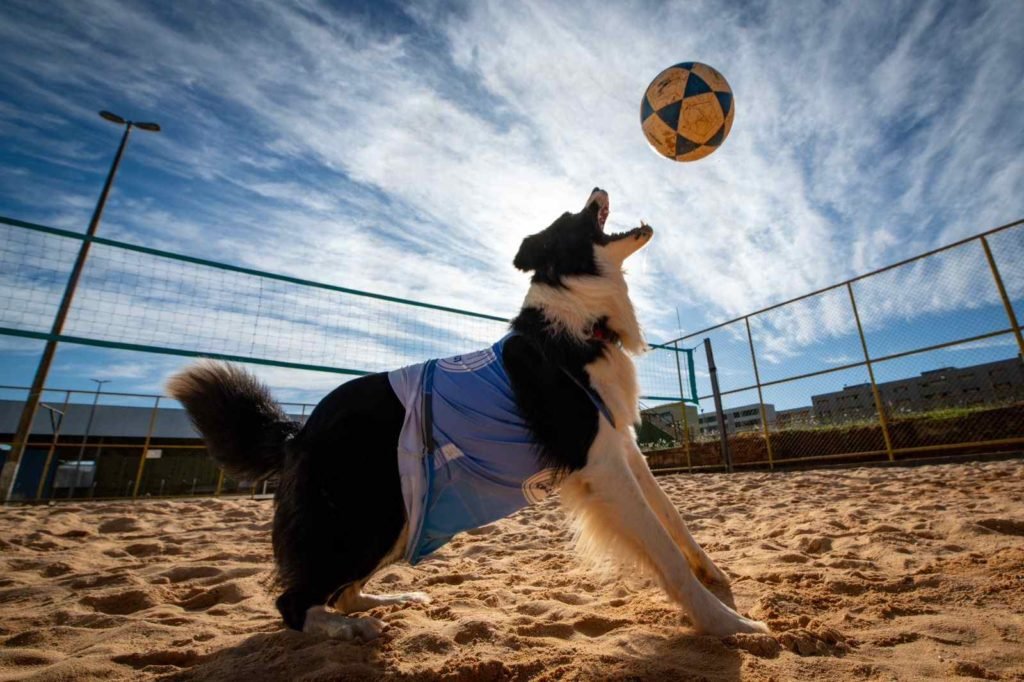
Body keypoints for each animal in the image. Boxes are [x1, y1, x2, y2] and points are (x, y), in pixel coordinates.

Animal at [165, 195, 770, 638]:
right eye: (573, 217)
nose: (597, 187)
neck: (577, 321)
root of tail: (299, 429)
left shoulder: (622, 447)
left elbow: (674, 518)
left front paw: (715, 576)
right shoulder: (599, 464)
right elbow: (662, 548)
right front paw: (727, 624)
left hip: (394, 517)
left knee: (340, 587)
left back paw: (384, 599)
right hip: (369, 514)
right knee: (293, 600)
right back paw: (340, 629)